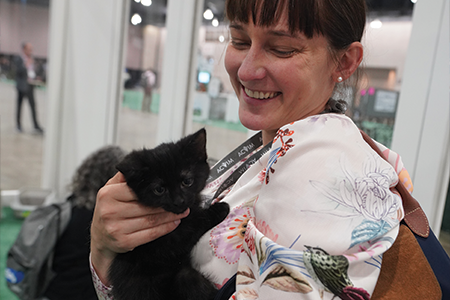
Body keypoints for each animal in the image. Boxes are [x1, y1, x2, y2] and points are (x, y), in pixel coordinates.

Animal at [108, 129, 229, 300]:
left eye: (187, 181)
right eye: (159, 189)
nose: (179, 201)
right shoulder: (169, 241)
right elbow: (194, 224)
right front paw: (220, 209)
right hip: (183, 278)